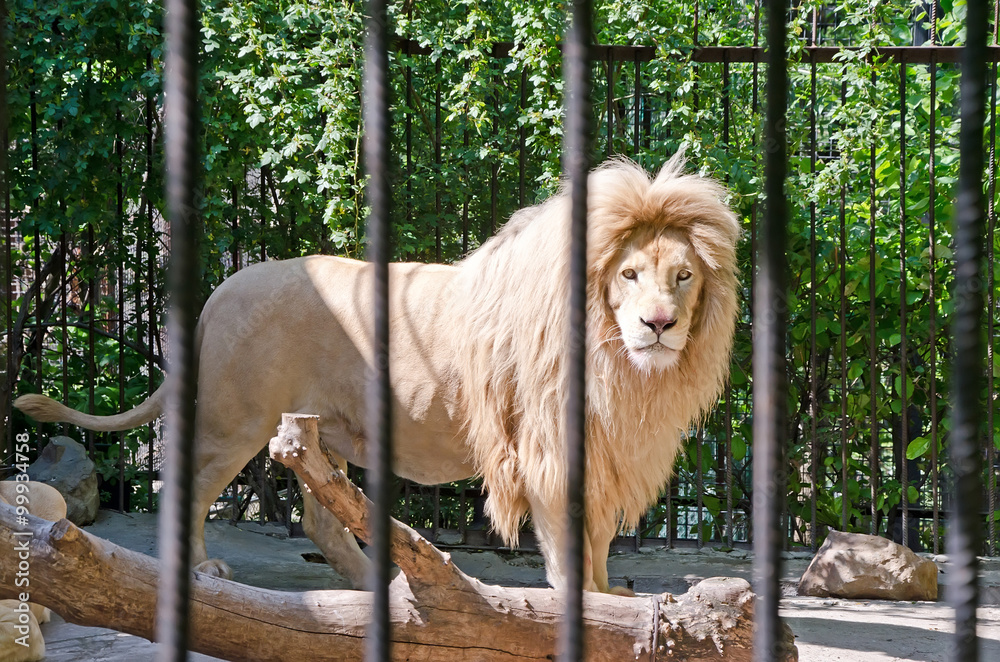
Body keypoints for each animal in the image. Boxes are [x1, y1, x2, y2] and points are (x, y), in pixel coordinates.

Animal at [14, 154, 740, 594]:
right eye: (629, 274)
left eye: (683, 276)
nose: (659, 325)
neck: (619, 362)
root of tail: (220, 291)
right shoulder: (546, 449)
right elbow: (570, 548)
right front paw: (590, 605)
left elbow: (597, 543)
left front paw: (609, 593)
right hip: (234, 423)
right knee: (188, 490)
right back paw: (204, 569)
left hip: (317, 433)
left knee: (320, 518)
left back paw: (383, 585)